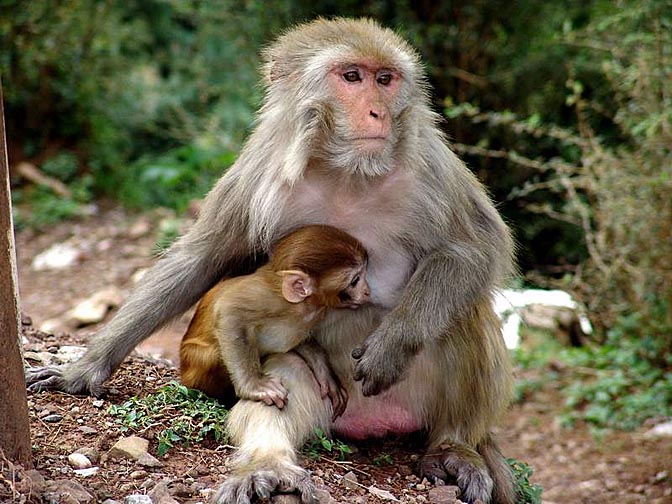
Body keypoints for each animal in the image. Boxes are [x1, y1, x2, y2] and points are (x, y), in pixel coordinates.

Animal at [178, 224, 370, 418]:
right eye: (354, 281)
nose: (368, 291)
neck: (304, 307)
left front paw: (326, 375)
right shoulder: (268, 299)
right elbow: (229, 310)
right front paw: (253, 386)